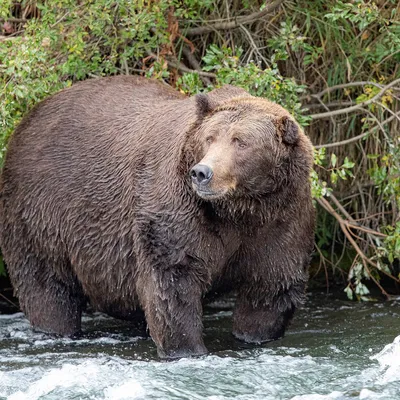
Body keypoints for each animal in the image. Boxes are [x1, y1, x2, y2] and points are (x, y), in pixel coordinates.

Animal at [0, 75, 314, 360]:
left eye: (241, 141)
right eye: (210, 138)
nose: (202, 173)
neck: (239, 209)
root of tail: (27, 119)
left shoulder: (281, 220)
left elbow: (270, 286)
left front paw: (253, 336)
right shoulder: (178, 211)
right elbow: (173, 282)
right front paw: (187, 349)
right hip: (41, 212)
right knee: (47, 285)